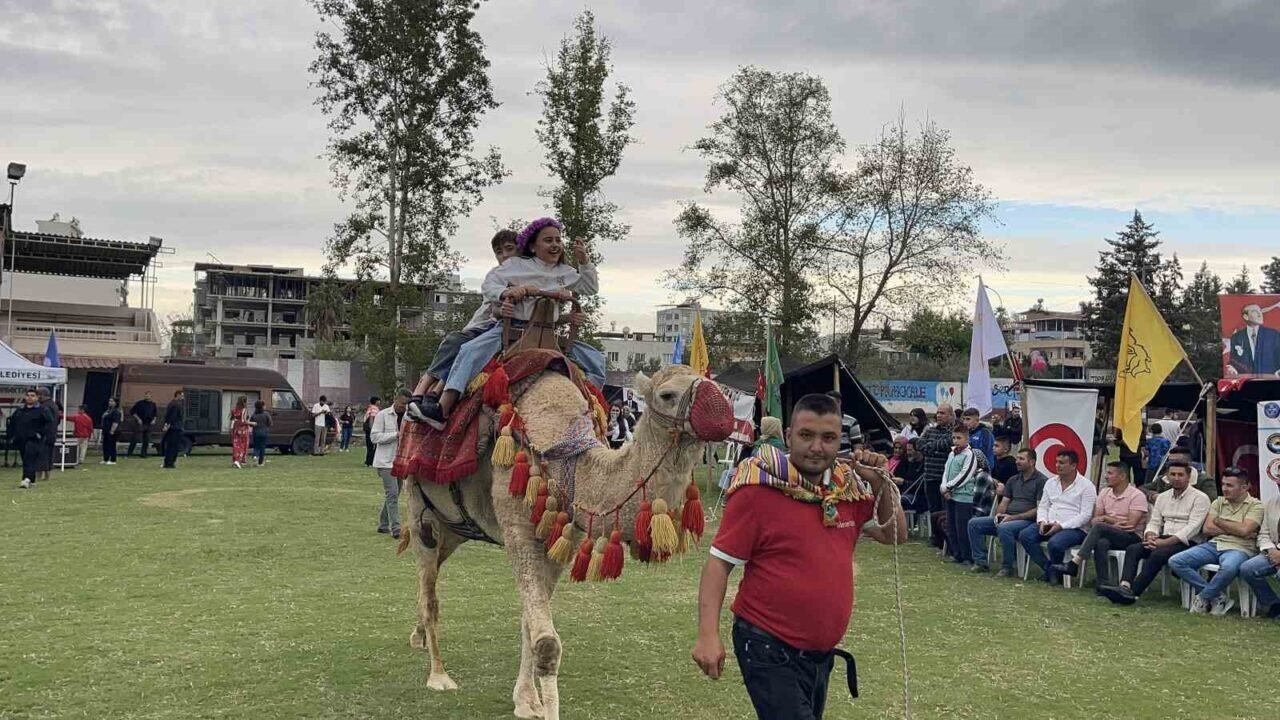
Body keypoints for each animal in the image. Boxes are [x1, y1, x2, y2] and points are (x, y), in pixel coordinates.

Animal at [400, 363, 734, 719]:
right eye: (667, 394)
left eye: (712, 383)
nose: (724, 415)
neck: (564, 456)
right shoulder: (518, 529)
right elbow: (546, 641)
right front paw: (538, 703)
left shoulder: (563, 540)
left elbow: (529, 623)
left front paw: (527, 700)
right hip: (421, 511)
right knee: (430, 591)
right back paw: (439, 675)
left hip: (454, 528)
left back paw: (417, 637)